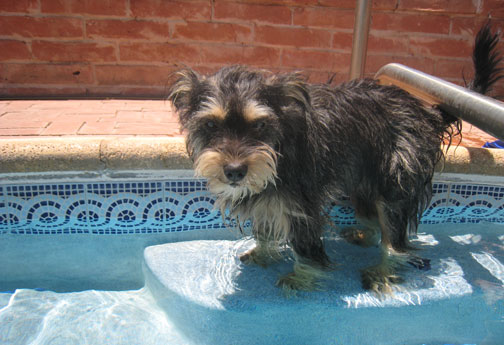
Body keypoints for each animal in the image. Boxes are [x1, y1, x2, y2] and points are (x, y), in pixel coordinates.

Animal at [168, 22, 500, 292]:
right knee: (373, 219)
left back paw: (382, 271)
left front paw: (301, 277)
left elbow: (305, 246)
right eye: (211, 125)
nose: (235, 171)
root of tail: (425, 112)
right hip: (362, 183)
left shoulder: (302, 204)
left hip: (396, 178)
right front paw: (262, 253)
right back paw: (362, 234)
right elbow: (263, 227)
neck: (280, 147)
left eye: (260, 125)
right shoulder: (266, 195)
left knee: (395, 238)